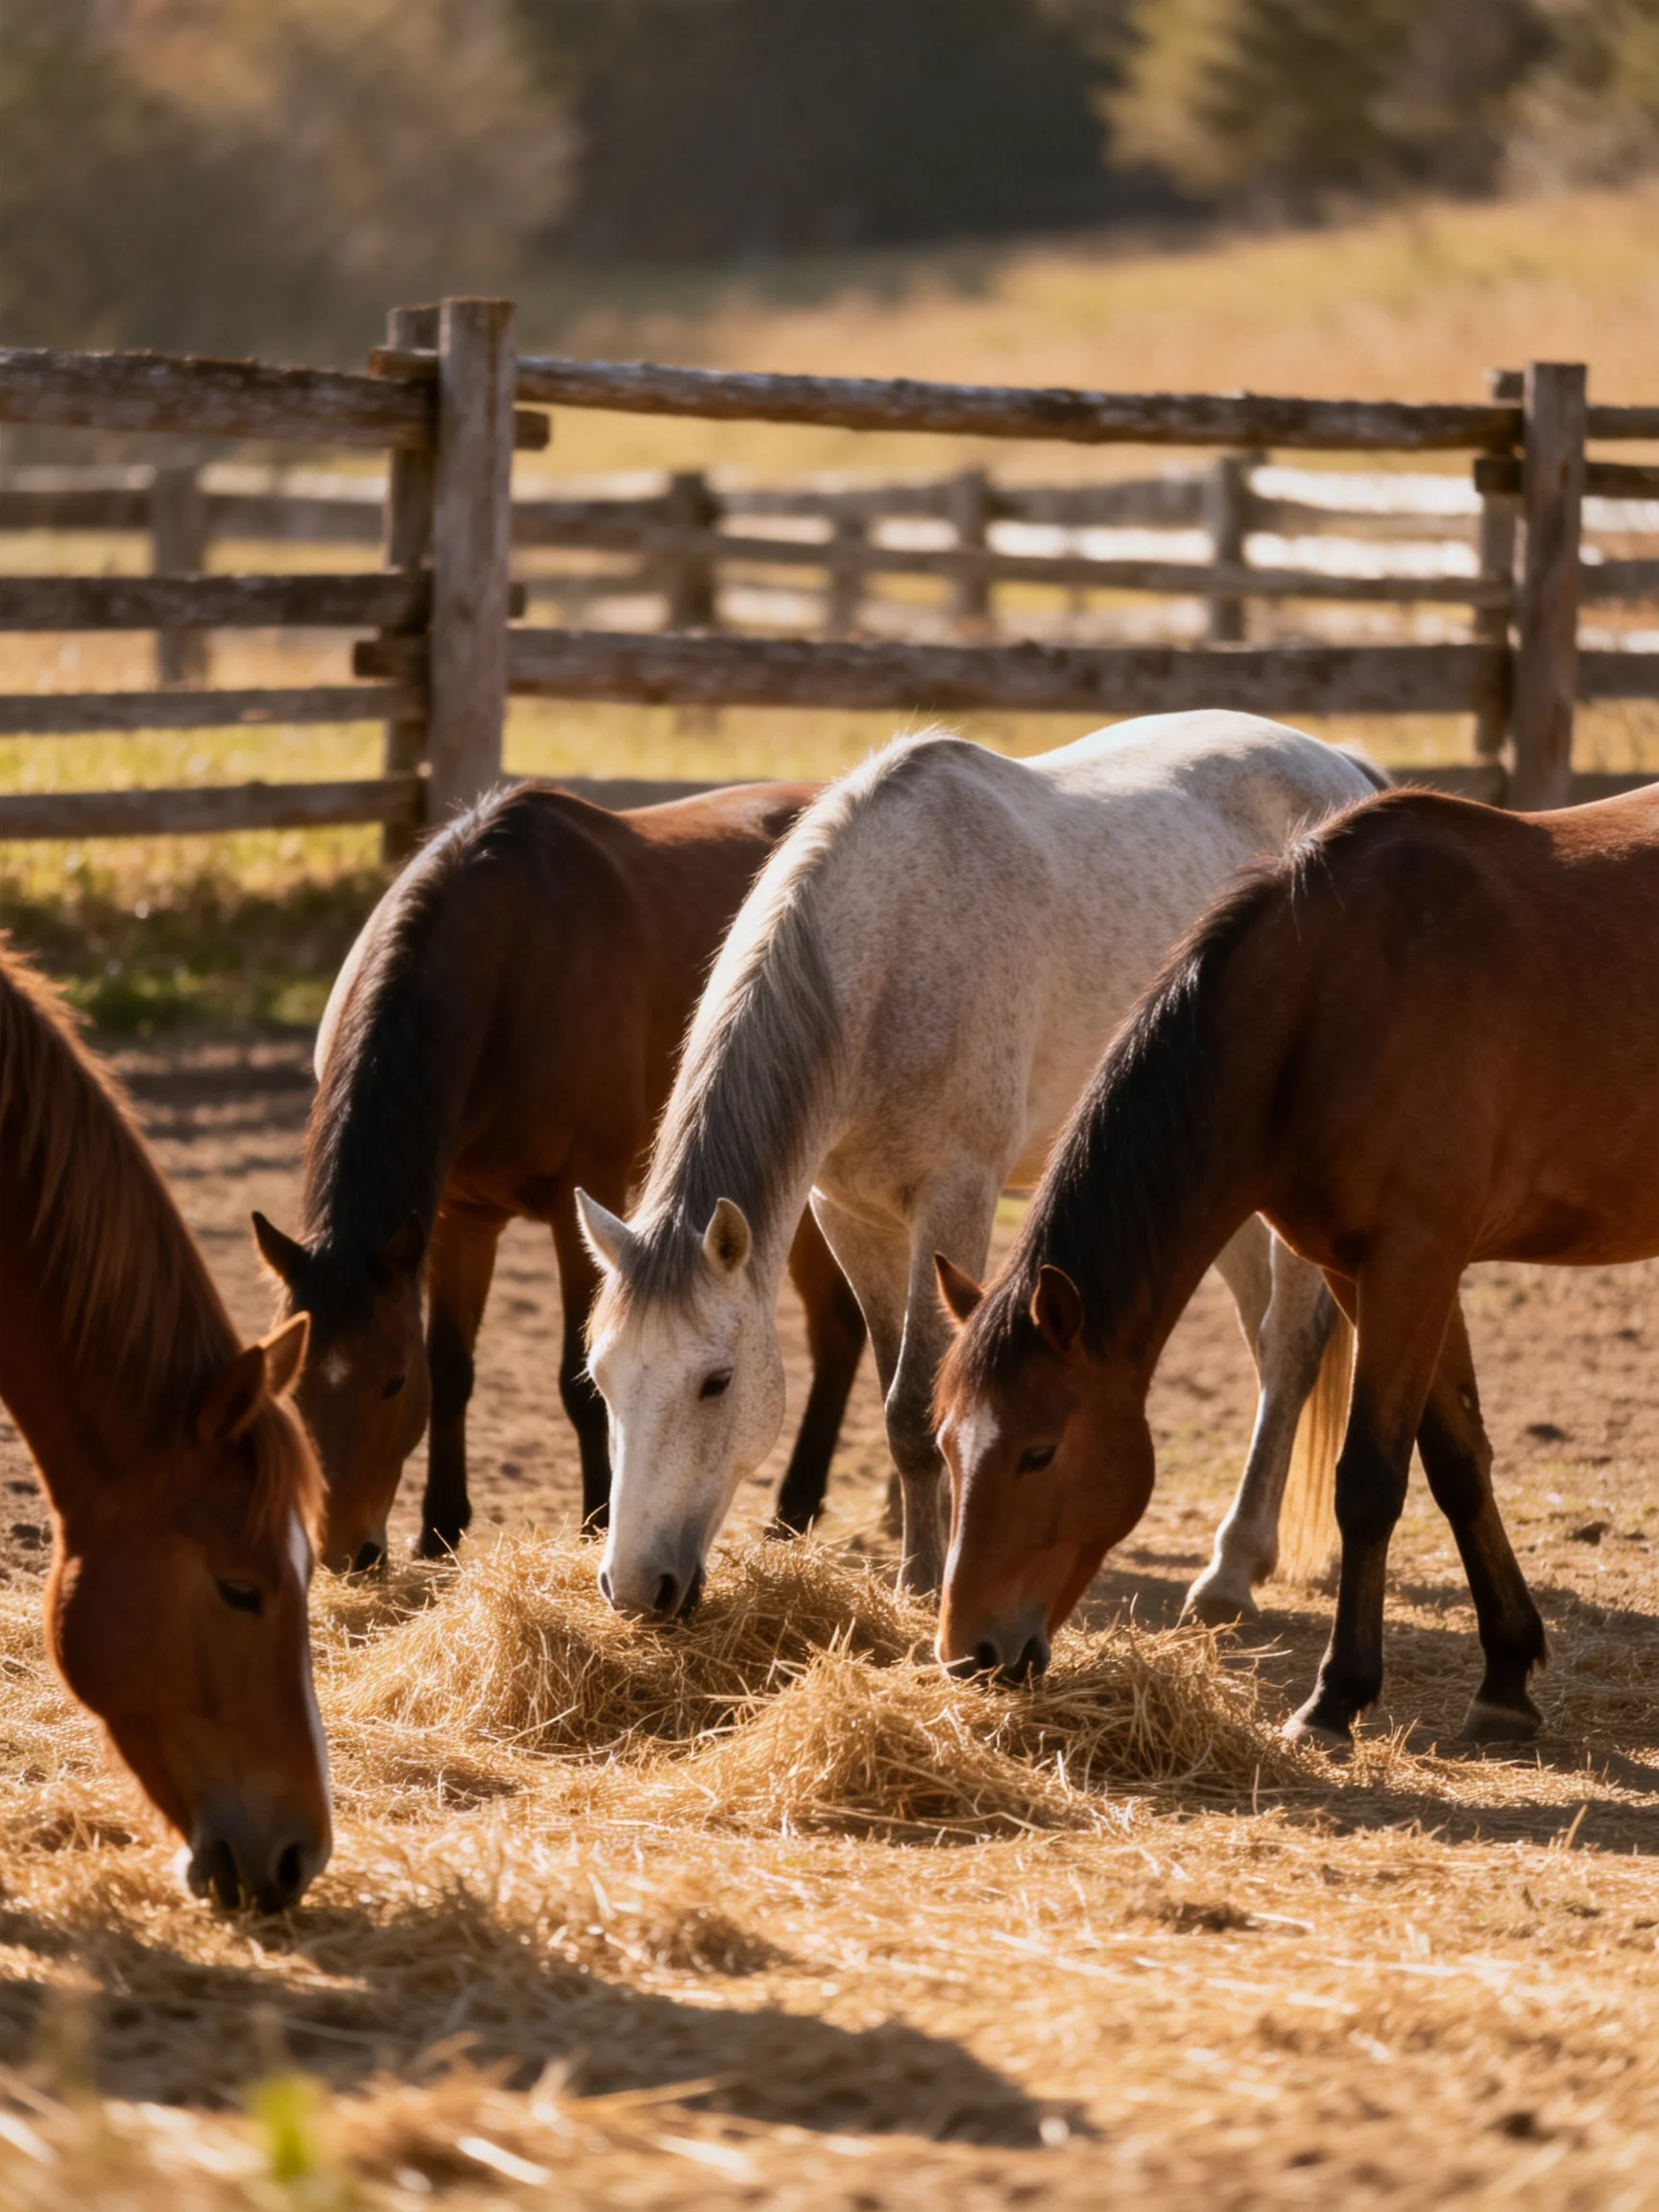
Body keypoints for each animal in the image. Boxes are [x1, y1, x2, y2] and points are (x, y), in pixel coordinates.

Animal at [253, 779, 867, 1576]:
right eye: (295, 1388)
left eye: (392, 1382)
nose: (343, 1553)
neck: (507, 965)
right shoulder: (459, 1219)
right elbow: (454, 1369)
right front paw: (439, 1527)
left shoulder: (585, 1197)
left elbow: (578, 1381)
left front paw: (597, 1518)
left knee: (842, 1327)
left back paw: (798, 1507)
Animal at [579, 711, 1386, 1620]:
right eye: (602, 1378)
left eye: (715, 1382)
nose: (636, 1588)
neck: (890, 948)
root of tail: (1338, 765)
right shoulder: (849, 1212)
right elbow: (896, 1389)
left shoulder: (955, 1193)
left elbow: (913, 1405)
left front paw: (925, 1583)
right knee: (1264, 1341)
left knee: (1290, 1345)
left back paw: (1229, 1573)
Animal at [930, 781, 1659, 1751]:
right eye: (947, 1444)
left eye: (1038, 1453)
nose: (968, 1656)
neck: (1333, 1000)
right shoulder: (1373, 1273)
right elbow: (1458, 1463)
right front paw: (1505, 1675)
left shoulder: (1413, 1261)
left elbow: (1371, 1482)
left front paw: (1336, 1696)